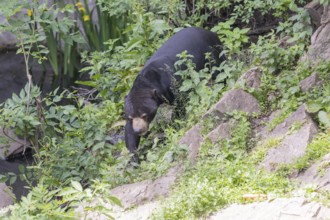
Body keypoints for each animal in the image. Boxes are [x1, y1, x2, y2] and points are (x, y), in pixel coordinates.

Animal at [125, 27, 223, 162]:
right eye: (131, 117)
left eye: (144, 115)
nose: (139, 130)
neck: (150, 80)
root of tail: (209, 31)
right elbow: (128, 131)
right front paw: (134, 157)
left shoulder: (172, 84)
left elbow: (180, 105)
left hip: (211, 50)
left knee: (218, 68)